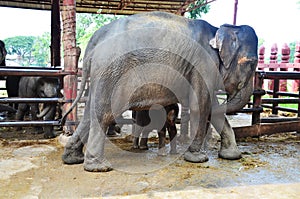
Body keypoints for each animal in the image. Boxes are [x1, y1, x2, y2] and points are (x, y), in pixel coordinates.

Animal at [61, 11, 258, 172]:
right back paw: (99, 167)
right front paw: (198, 158)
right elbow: (200, 106)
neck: (218, 29)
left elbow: (212, 107)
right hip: (111, 72)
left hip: (102, 75)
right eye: (252, 63)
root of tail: (95, 39)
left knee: (90, 113)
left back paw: (72, 159)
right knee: (105, 114)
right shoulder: (203, 64)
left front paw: (231, 156)